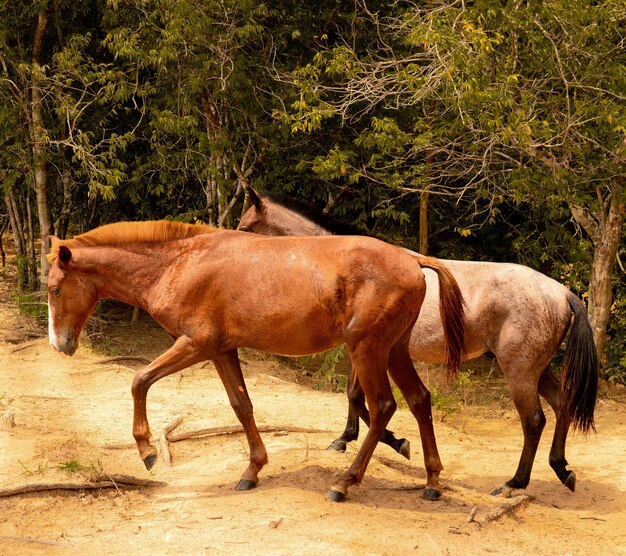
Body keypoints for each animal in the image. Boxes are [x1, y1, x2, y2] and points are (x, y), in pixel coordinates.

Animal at [46, 219, 466, 502]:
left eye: (53, 289)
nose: (59, 345)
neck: (179, 264)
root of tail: (414, 262)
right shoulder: (221, 350)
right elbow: (241, 405)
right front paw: (253, 470)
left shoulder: (195, 344)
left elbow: (139, 380)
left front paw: (147, 450)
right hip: (393, 350)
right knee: (419, 401)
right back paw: (431, 481)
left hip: (367, 349)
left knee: (382, 408)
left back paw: (343, 483)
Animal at [236, 189, 596, 498]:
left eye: (246, 227)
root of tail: (562, 292)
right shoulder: (365, 351)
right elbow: (355, 396)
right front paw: (351, 439)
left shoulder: (367, 350)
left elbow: (361, 400)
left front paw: (392, 442)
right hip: (538, 368)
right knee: (562, 403)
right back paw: (562, 470)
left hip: (519, 371)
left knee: (534, 420)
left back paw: (514, 483)